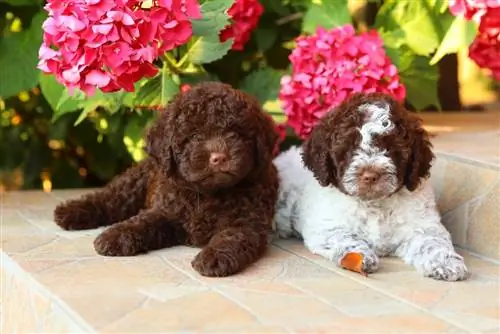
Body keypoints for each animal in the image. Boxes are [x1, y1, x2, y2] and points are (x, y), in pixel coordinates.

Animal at [56, 81, 282, 276]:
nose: (219, 157)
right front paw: (116, 235)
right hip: (134, 183)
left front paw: (215, 257)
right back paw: (70, 212)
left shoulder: (247, 222)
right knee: (110, 199)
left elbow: (232, 237)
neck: (208, 193)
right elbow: (143, 221)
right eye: (194, 136)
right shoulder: (166, 211)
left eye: (235, 134)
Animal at [274, 92, 468, 280]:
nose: (370, 176)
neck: (374, 204)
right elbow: (346, 238)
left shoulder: (423, 225)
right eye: (349, 148)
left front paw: (446, 263)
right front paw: (360, 256)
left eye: (390, 148)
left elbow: (432, 242)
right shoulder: (327, 227)